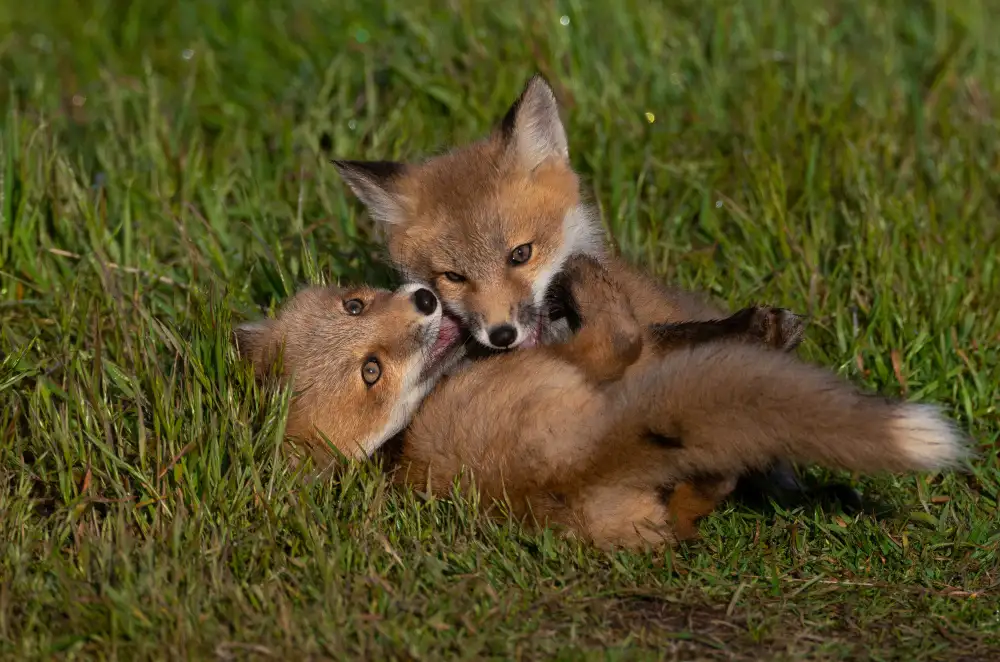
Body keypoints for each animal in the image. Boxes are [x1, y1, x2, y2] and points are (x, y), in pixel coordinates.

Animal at [234, 254, 968, 550]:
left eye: (355, 306)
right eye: (372, 373)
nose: (424, 299)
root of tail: (572, 467)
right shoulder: (602, 354)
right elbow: (658, 337)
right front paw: (758, 328)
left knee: (693, 498)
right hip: (591, 365)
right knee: (619, 333)